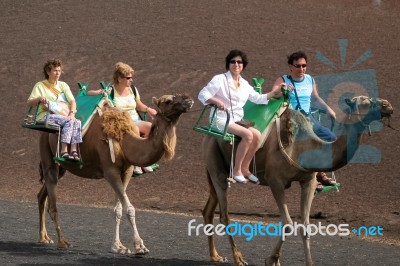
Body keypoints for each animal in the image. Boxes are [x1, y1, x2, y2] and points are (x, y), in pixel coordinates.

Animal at [36, 93, 194, 254]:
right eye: (168, 101)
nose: (189, 100)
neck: (125, 141)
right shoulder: (110, 171)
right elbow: (129, 208)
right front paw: (140, 246)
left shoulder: (127, 171)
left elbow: (118, 209)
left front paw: (119, 246)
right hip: (46, 152)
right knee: (52, 200)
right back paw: (62, 241)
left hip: (62, 167)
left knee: (42, 195)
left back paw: (44, 237)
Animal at [202, 96, 396, 266]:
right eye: (365, 101)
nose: (388, 105)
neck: (302, 146)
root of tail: (209, 133)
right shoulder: (275, 181)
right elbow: (288, 224)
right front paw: (271, 260)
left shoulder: (308, 181)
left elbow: (306, 226)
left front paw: (306, 263)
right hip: (215, 162)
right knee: (224, 214)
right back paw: (238, 259)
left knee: (208, 210)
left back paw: (216, 256)